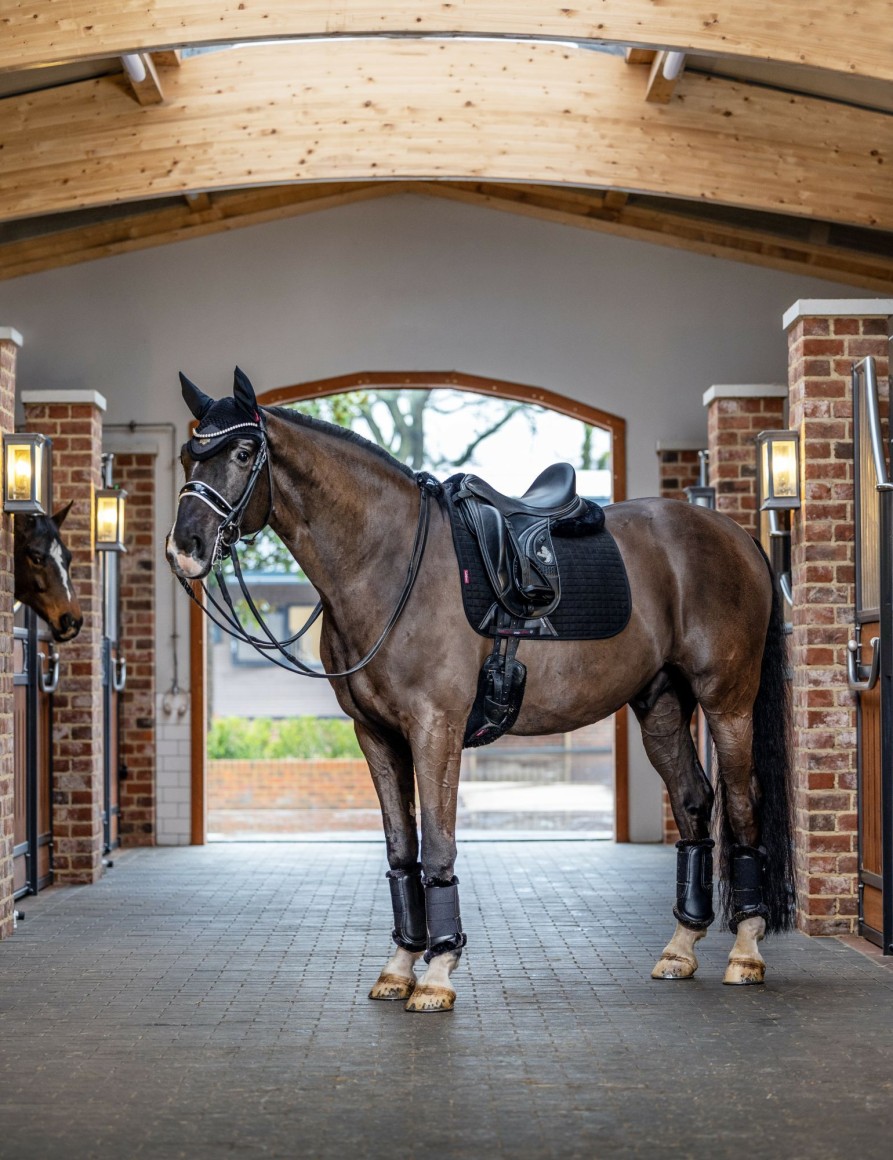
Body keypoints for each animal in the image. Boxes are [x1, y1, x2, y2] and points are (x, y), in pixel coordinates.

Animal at [167, 371, 793, 1016]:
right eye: (190, 453)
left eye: (244, 453)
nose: (185, 546)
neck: (389, 560)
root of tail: (734, 533)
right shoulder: (377, 735)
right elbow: (401, 851)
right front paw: (399, 966)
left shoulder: (435, 728)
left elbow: (438, 847)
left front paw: (437, 974)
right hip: (662, 705)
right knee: (694, 802)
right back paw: (680, 948)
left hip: (728, 700)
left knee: (742, 804)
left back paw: (746, 952)